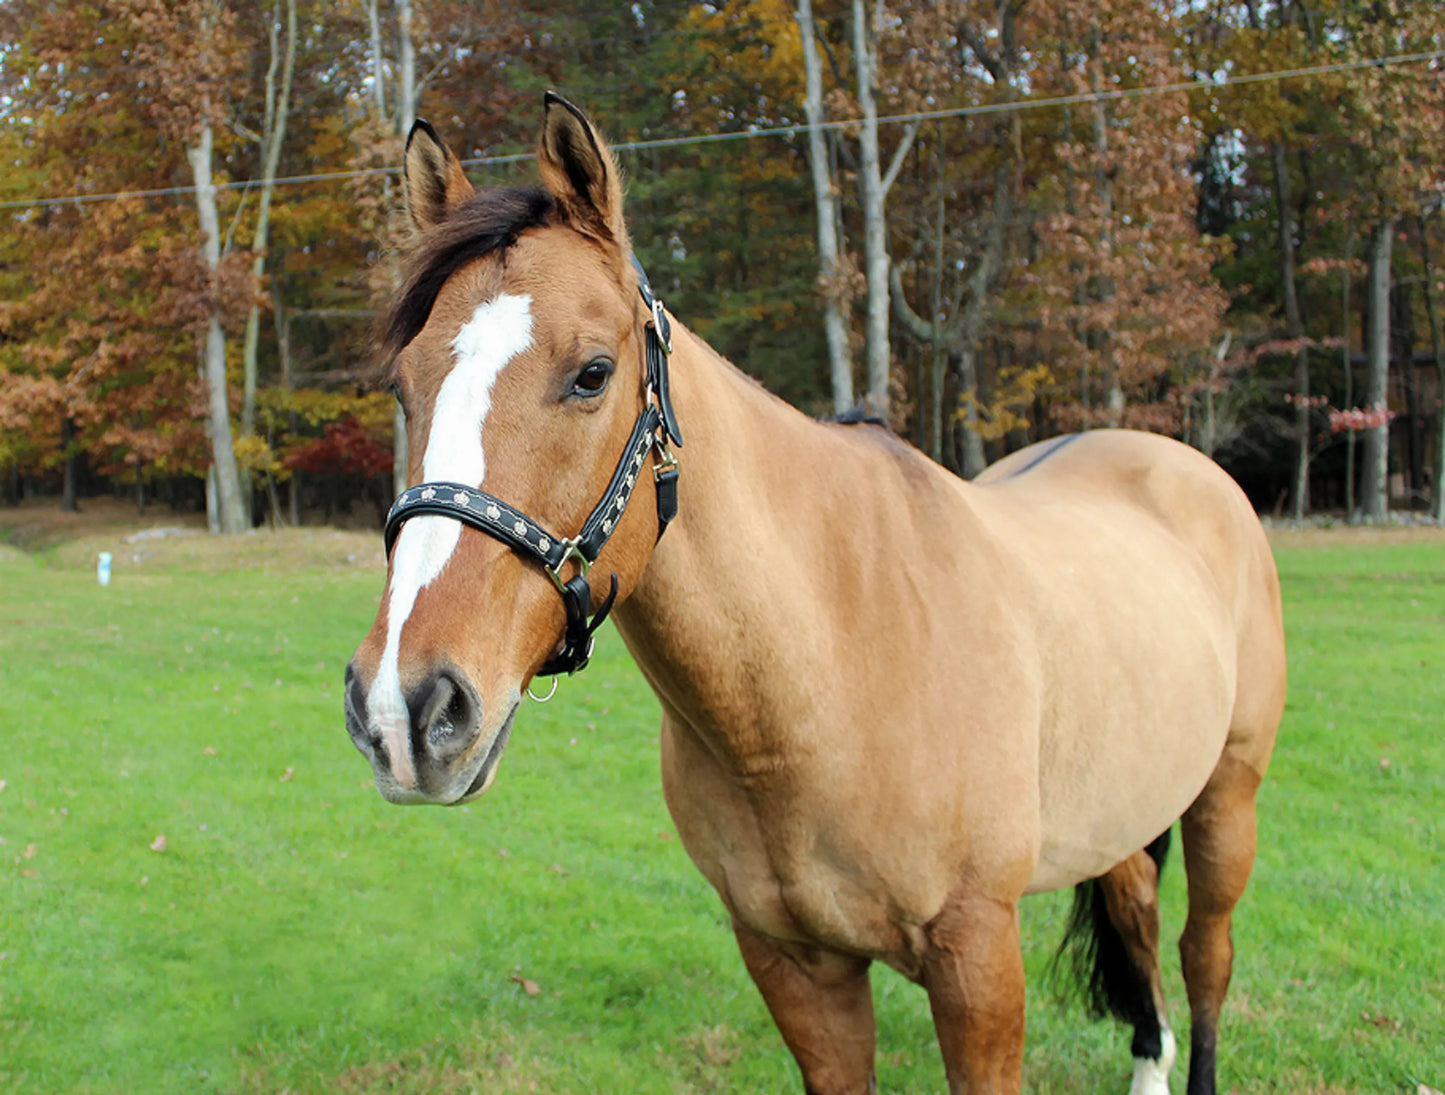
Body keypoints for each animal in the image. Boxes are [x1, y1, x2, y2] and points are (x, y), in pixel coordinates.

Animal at [341, 96, 1288, 1095]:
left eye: (592, 372)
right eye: (401, 384)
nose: (405, 709)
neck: (830, 664)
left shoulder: (978, 955)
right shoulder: (792, 962)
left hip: (1227, 797)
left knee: (1203, 954)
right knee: (1138, 915)